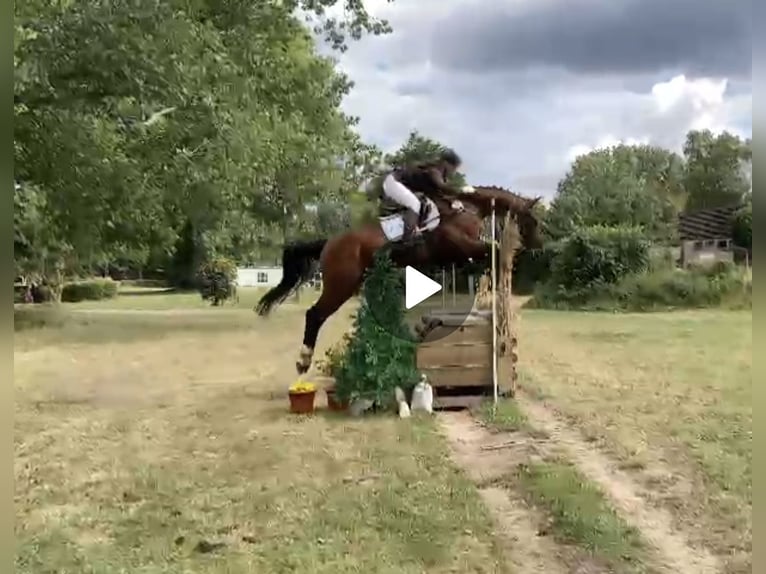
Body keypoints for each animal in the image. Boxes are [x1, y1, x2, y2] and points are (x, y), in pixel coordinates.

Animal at [256, 185, 543, 374]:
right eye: (534, 220)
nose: (537, 247)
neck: (466, 210)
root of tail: (329, 242)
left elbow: (485, 256)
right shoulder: (461, 247)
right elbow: (492, 249)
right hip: (341, 285)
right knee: (315, 315)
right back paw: (303, 361)